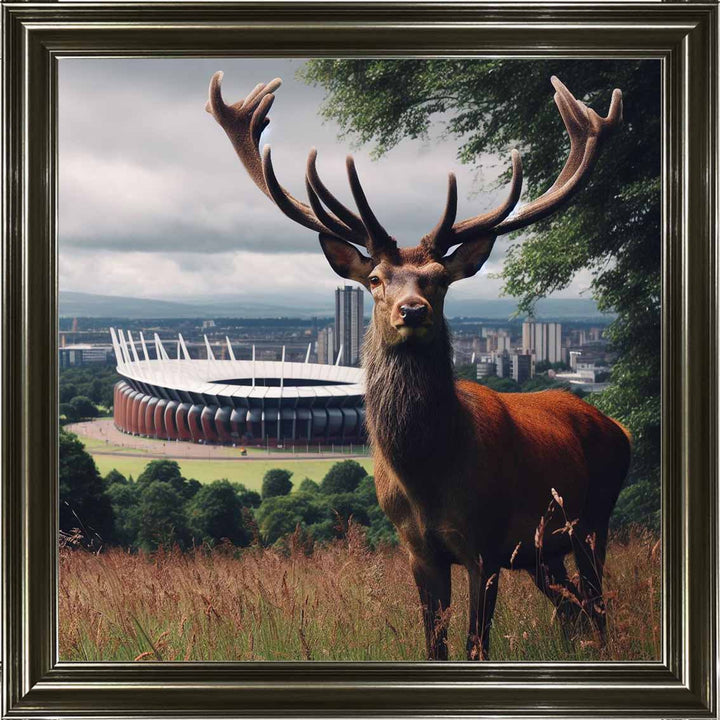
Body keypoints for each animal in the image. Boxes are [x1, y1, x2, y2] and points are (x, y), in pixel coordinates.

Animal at [206, 71, 630, 660]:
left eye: (440, 279)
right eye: (376, 279)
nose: (412, 310)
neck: (430, 474)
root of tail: (620, 428)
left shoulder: (486, 545)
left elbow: (476, 646)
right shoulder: (418, 550)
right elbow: (436, 645)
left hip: (594, 519)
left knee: (597, 606)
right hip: (544, 551)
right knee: (572, 609)